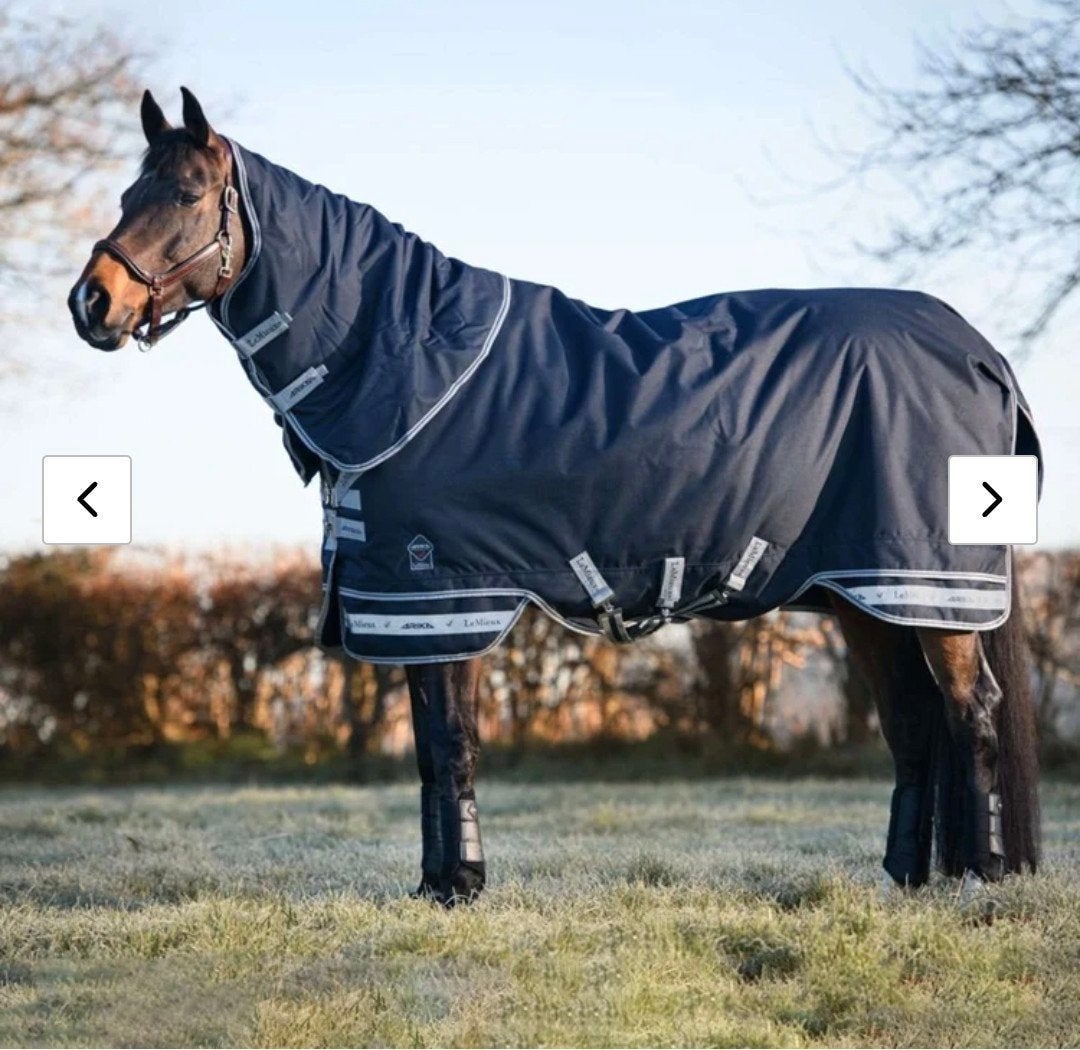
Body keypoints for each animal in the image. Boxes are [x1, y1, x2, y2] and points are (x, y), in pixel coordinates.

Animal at [69, 88, 1041, 906]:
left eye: (187, 194)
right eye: (127, 192)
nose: (92, 303)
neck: (403, 356)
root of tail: (982, 349)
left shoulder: (443, 593)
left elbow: (452, 743)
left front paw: (459, 886)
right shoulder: (417, 606)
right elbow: (432, 749)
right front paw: (438, 884)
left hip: (925, 586)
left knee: (971, 714)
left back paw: (979, 879)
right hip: (867, 598)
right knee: (914, 726)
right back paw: (906, 880)